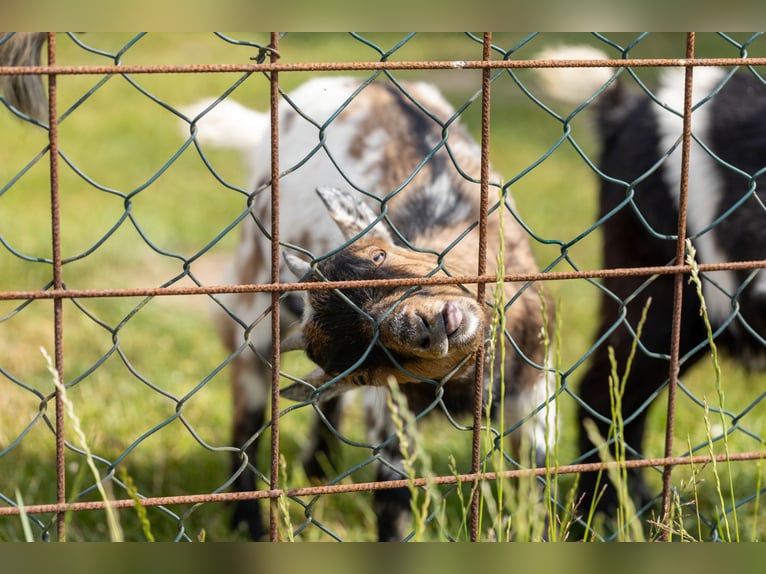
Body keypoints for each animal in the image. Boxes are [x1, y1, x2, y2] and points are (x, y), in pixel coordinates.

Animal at [186, 75, 560, 540]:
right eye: (363, 368)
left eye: (379, 255)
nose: (427, 327)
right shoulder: (390, 415)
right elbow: (392, 502)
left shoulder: (537, 387)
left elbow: (537, 485)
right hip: (253, 302)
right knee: (247, 413)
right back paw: (247, 522)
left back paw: (317, 467)